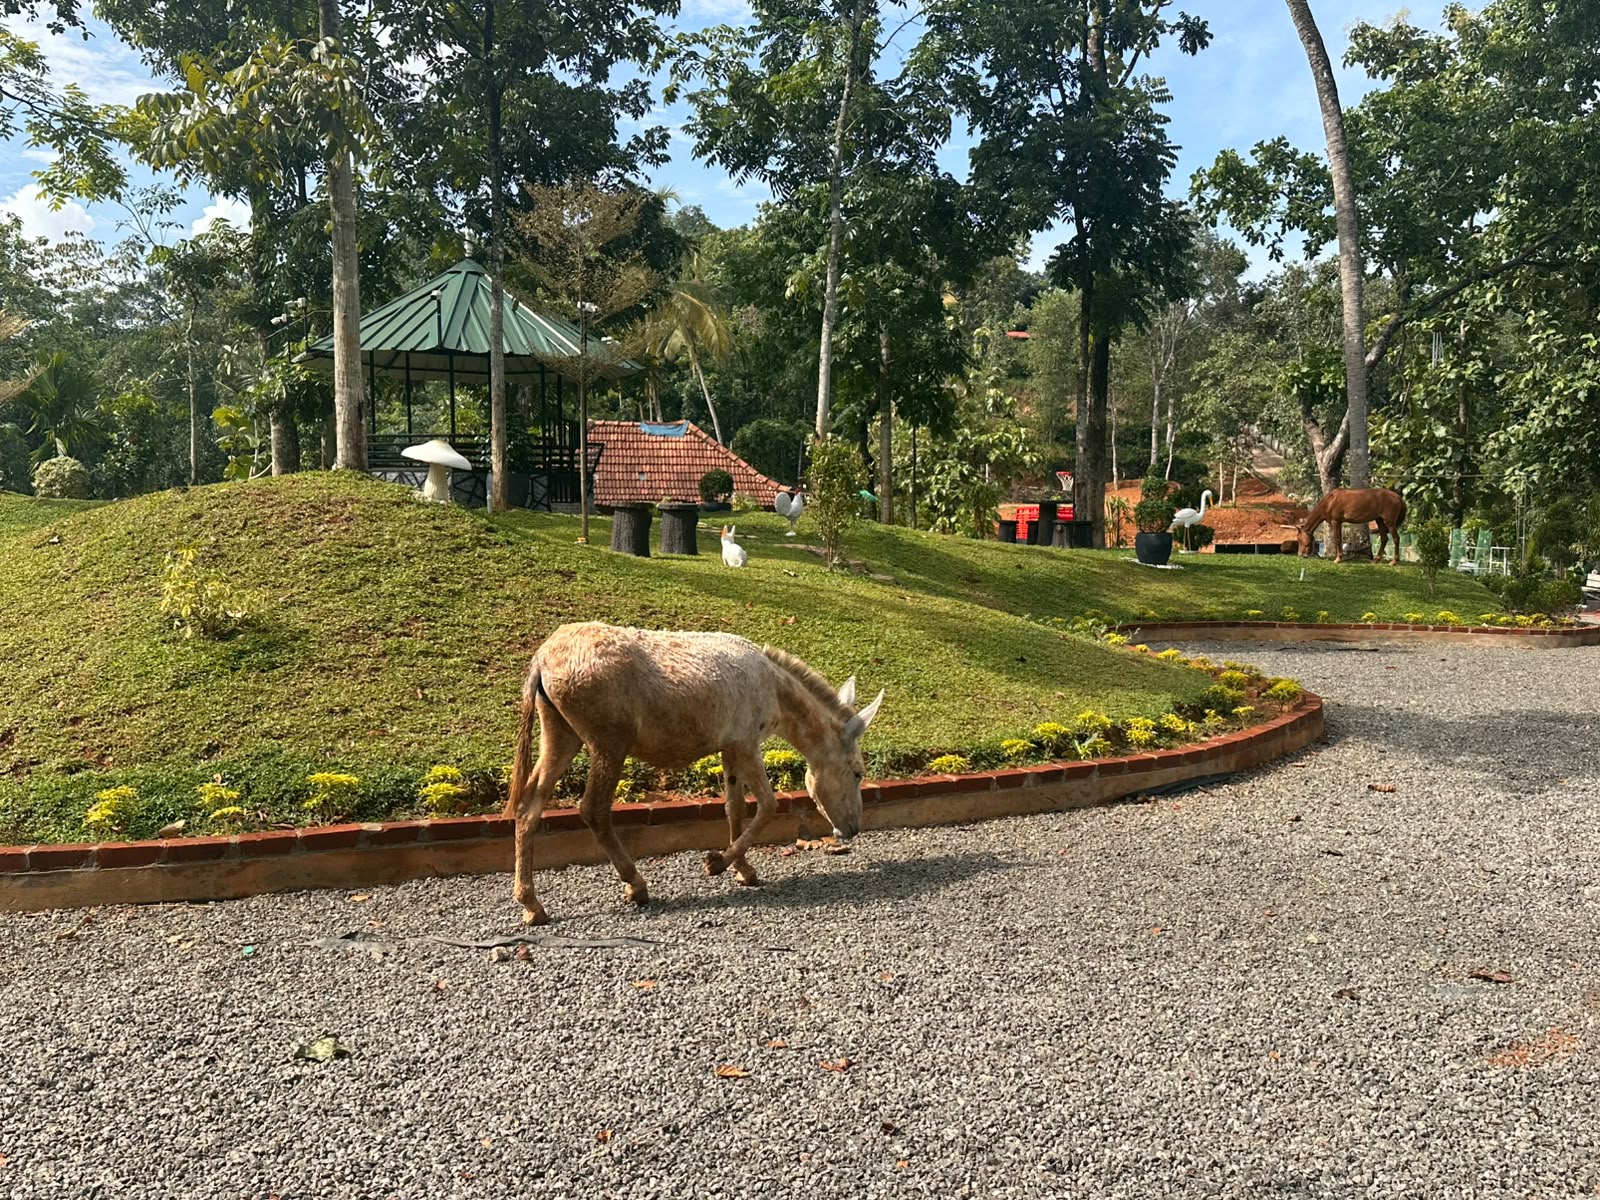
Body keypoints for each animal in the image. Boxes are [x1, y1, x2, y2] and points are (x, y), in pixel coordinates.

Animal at [505, 622, 885, 925]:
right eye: (857, 772)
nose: (852, 829)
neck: (775, 690)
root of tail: (541, 660)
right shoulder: (746, 743)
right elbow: (768, 805)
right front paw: (717, 863)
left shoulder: (729, 748)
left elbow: (735, 808)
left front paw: (743, 870)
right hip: (608, 743)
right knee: (593, 810)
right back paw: (636, 885)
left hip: (560, 732)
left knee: (528, 807)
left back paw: (532, 905)